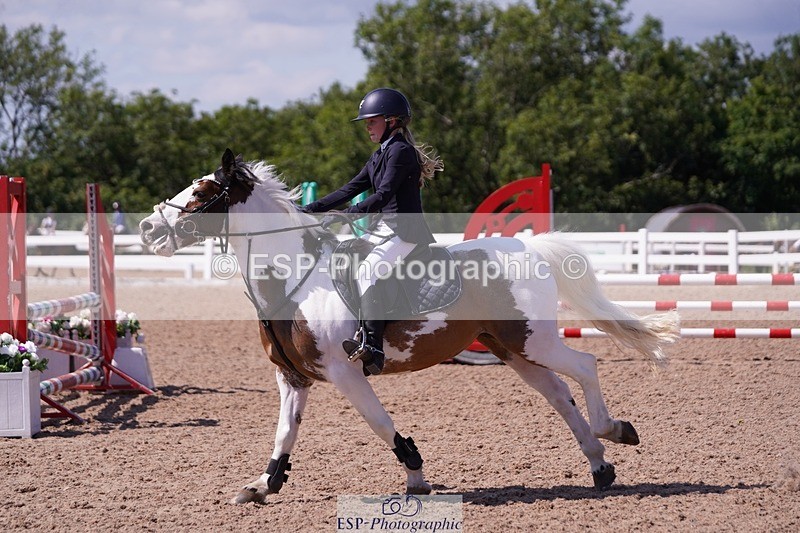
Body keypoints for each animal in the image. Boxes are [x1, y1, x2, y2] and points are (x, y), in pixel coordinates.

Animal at [139, 149, 679, 504]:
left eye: (203, 190)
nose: (147, 228)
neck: (294, 279)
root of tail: (530, 246)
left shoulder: (345, 372)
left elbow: (379, 423)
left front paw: (417, 477)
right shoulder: (292, 377)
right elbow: (284, 433)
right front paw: (262, 485)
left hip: (536, 341)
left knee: (584, 366)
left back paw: (614, 431)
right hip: (512, 349)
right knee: (558, 393)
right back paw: (599, 464)